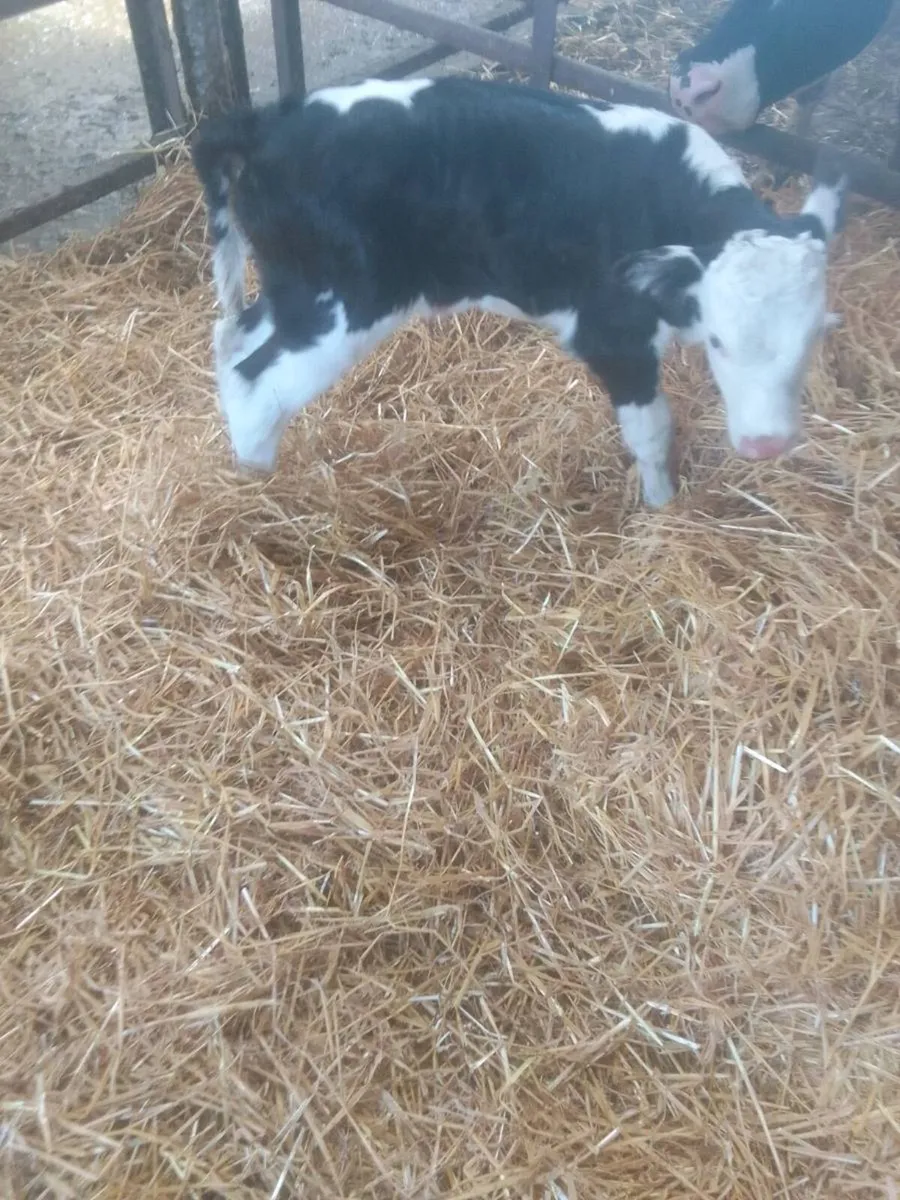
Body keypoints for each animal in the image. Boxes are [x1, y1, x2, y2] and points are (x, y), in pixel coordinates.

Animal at [191, 76, 846, 509]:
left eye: (813, 338)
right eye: (719, 341)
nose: (767, 445)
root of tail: (266, 123)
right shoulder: (612, 334)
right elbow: (654, 431)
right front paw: (663, 509)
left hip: (292, 286)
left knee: (231, 339)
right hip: (340, 304)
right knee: (258, 380)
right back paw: (260, 486)